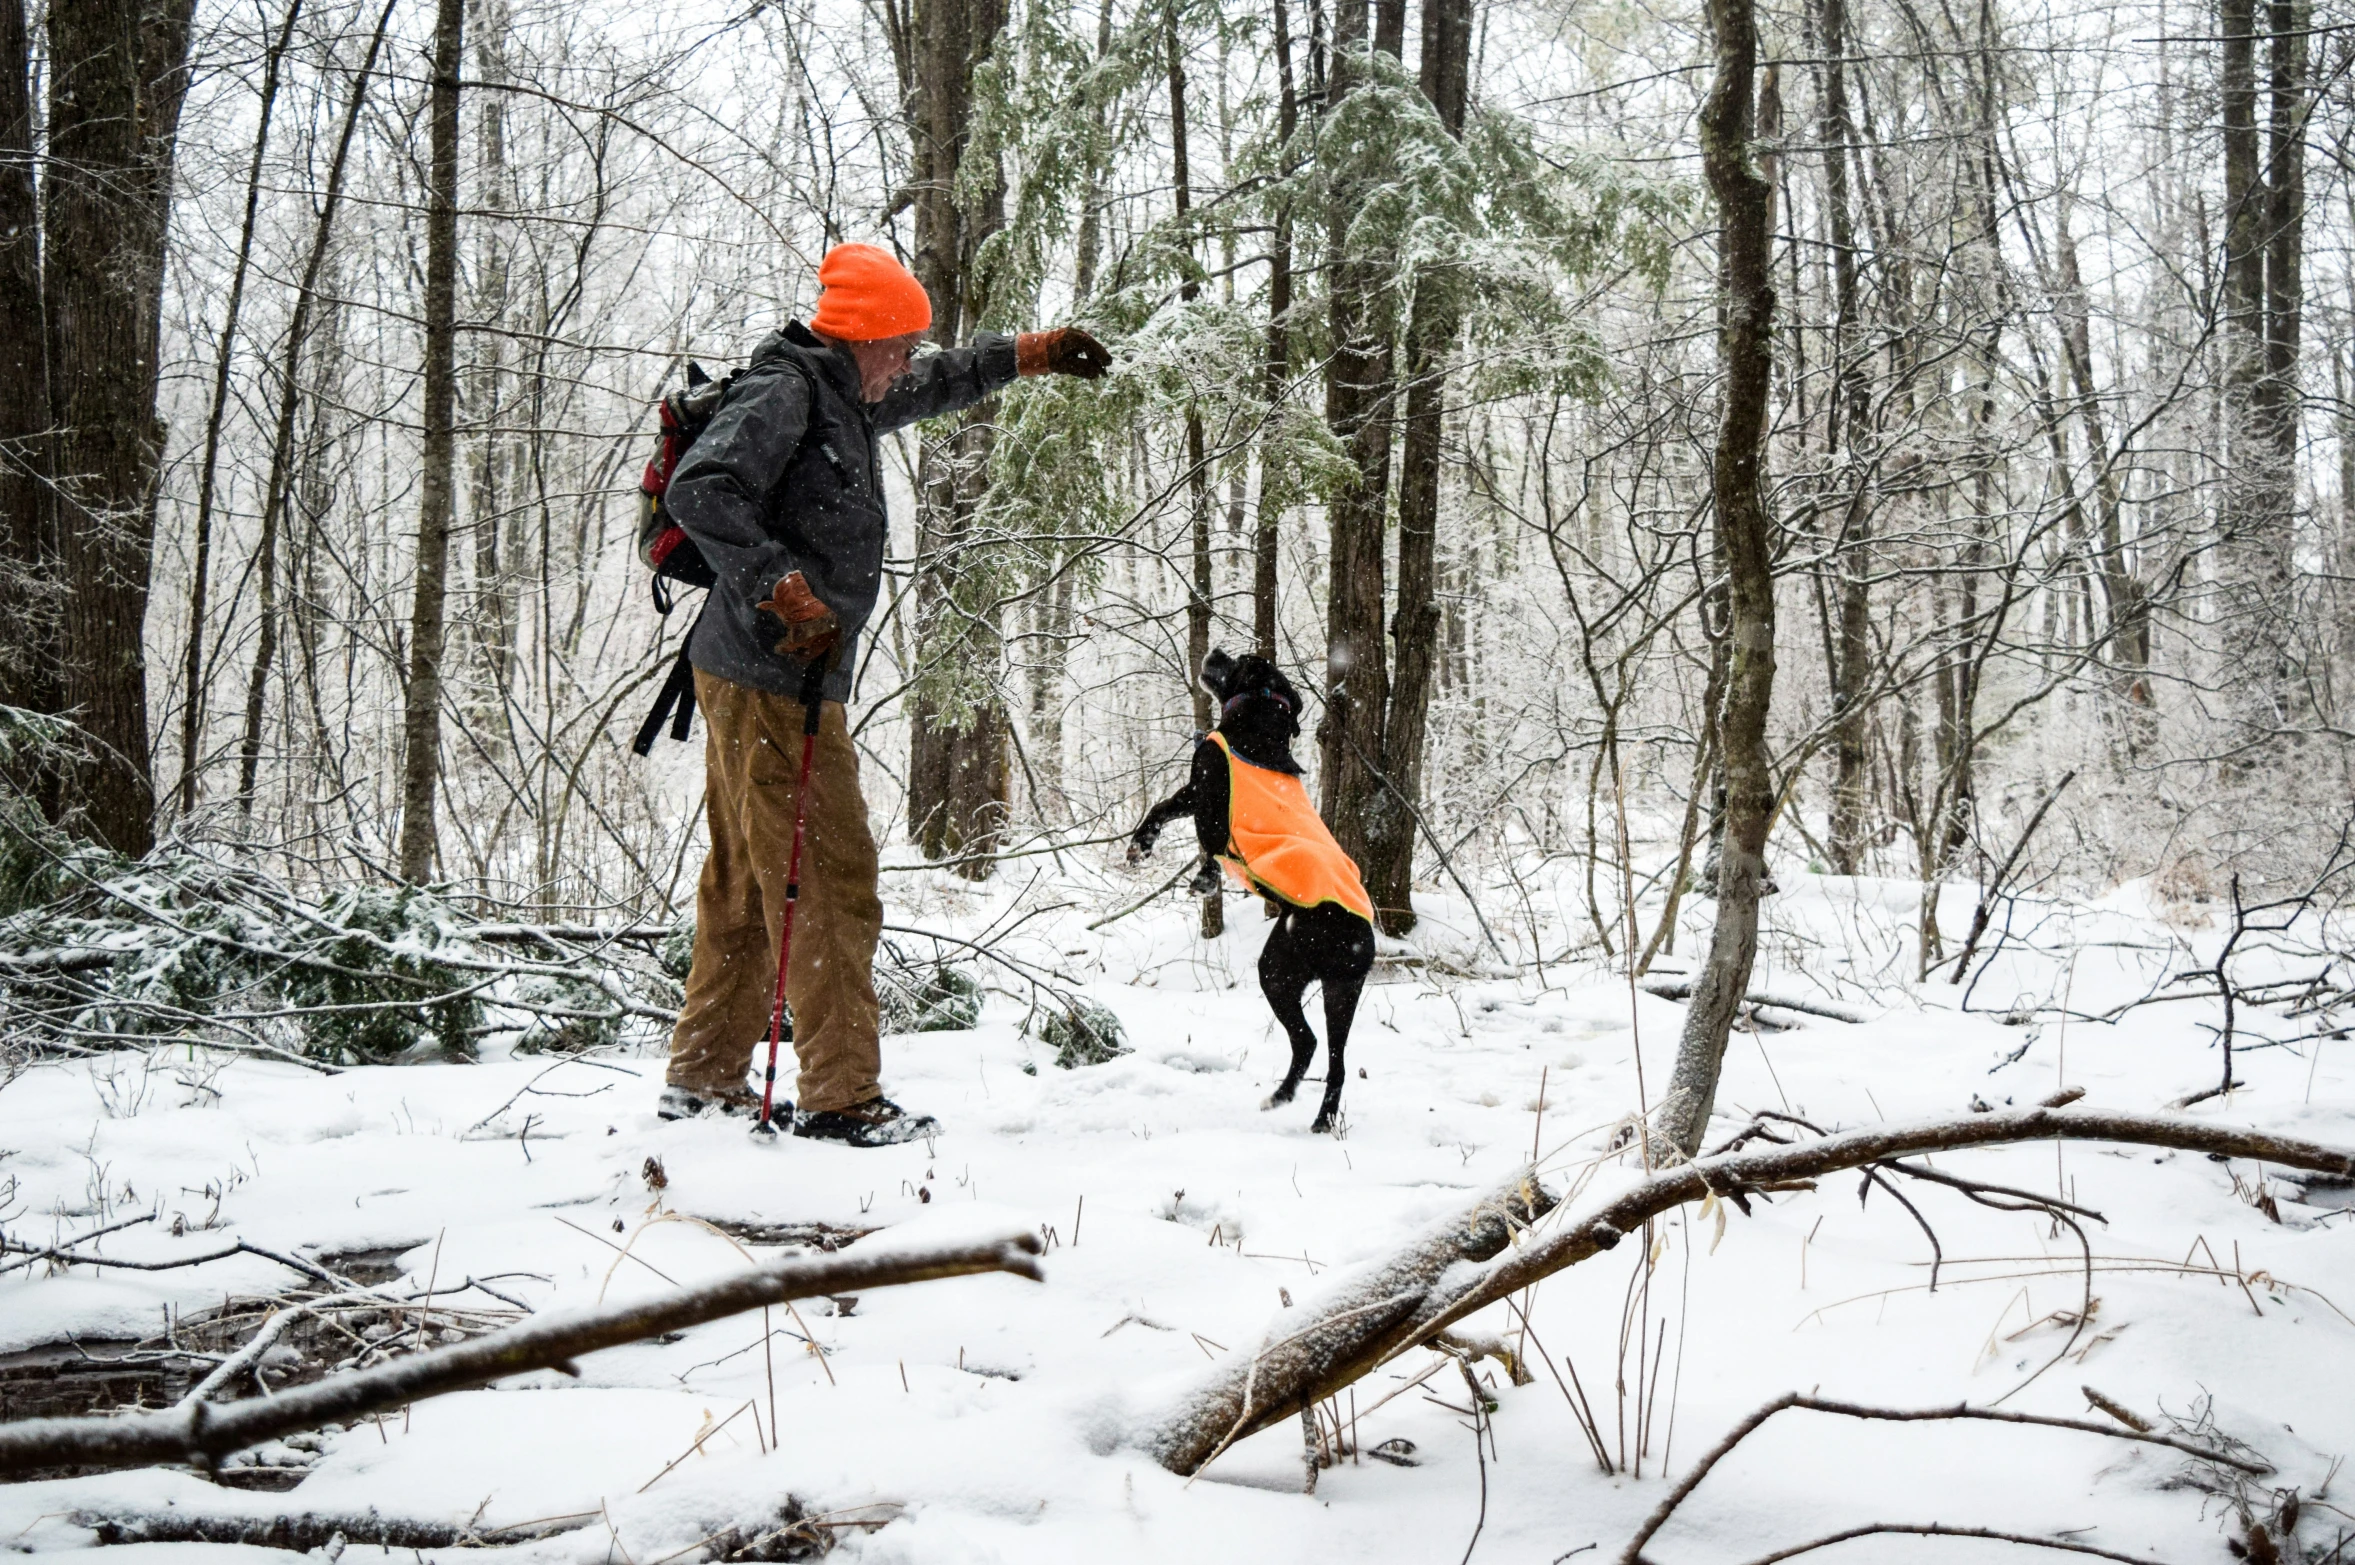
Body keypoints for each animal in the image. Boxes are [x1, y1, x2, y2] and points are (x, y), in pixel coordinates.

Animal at [1125, 640, 1375, 1129]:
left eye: (1239, 660)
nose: (1217, 648)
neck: (1259, 716)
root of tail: (1358, 931)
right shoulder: (1196, 792)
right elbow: (1168, 809)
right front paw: (1145, 845)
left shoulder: (1206, 786)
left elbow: (1188, 826)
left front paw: (1188, 871)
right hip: (1341, 989)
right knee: (1334, 1059)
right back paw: (1311, 1114)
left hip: (1278, 968)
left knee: (1308, 1041)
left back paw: (1284, 1099)